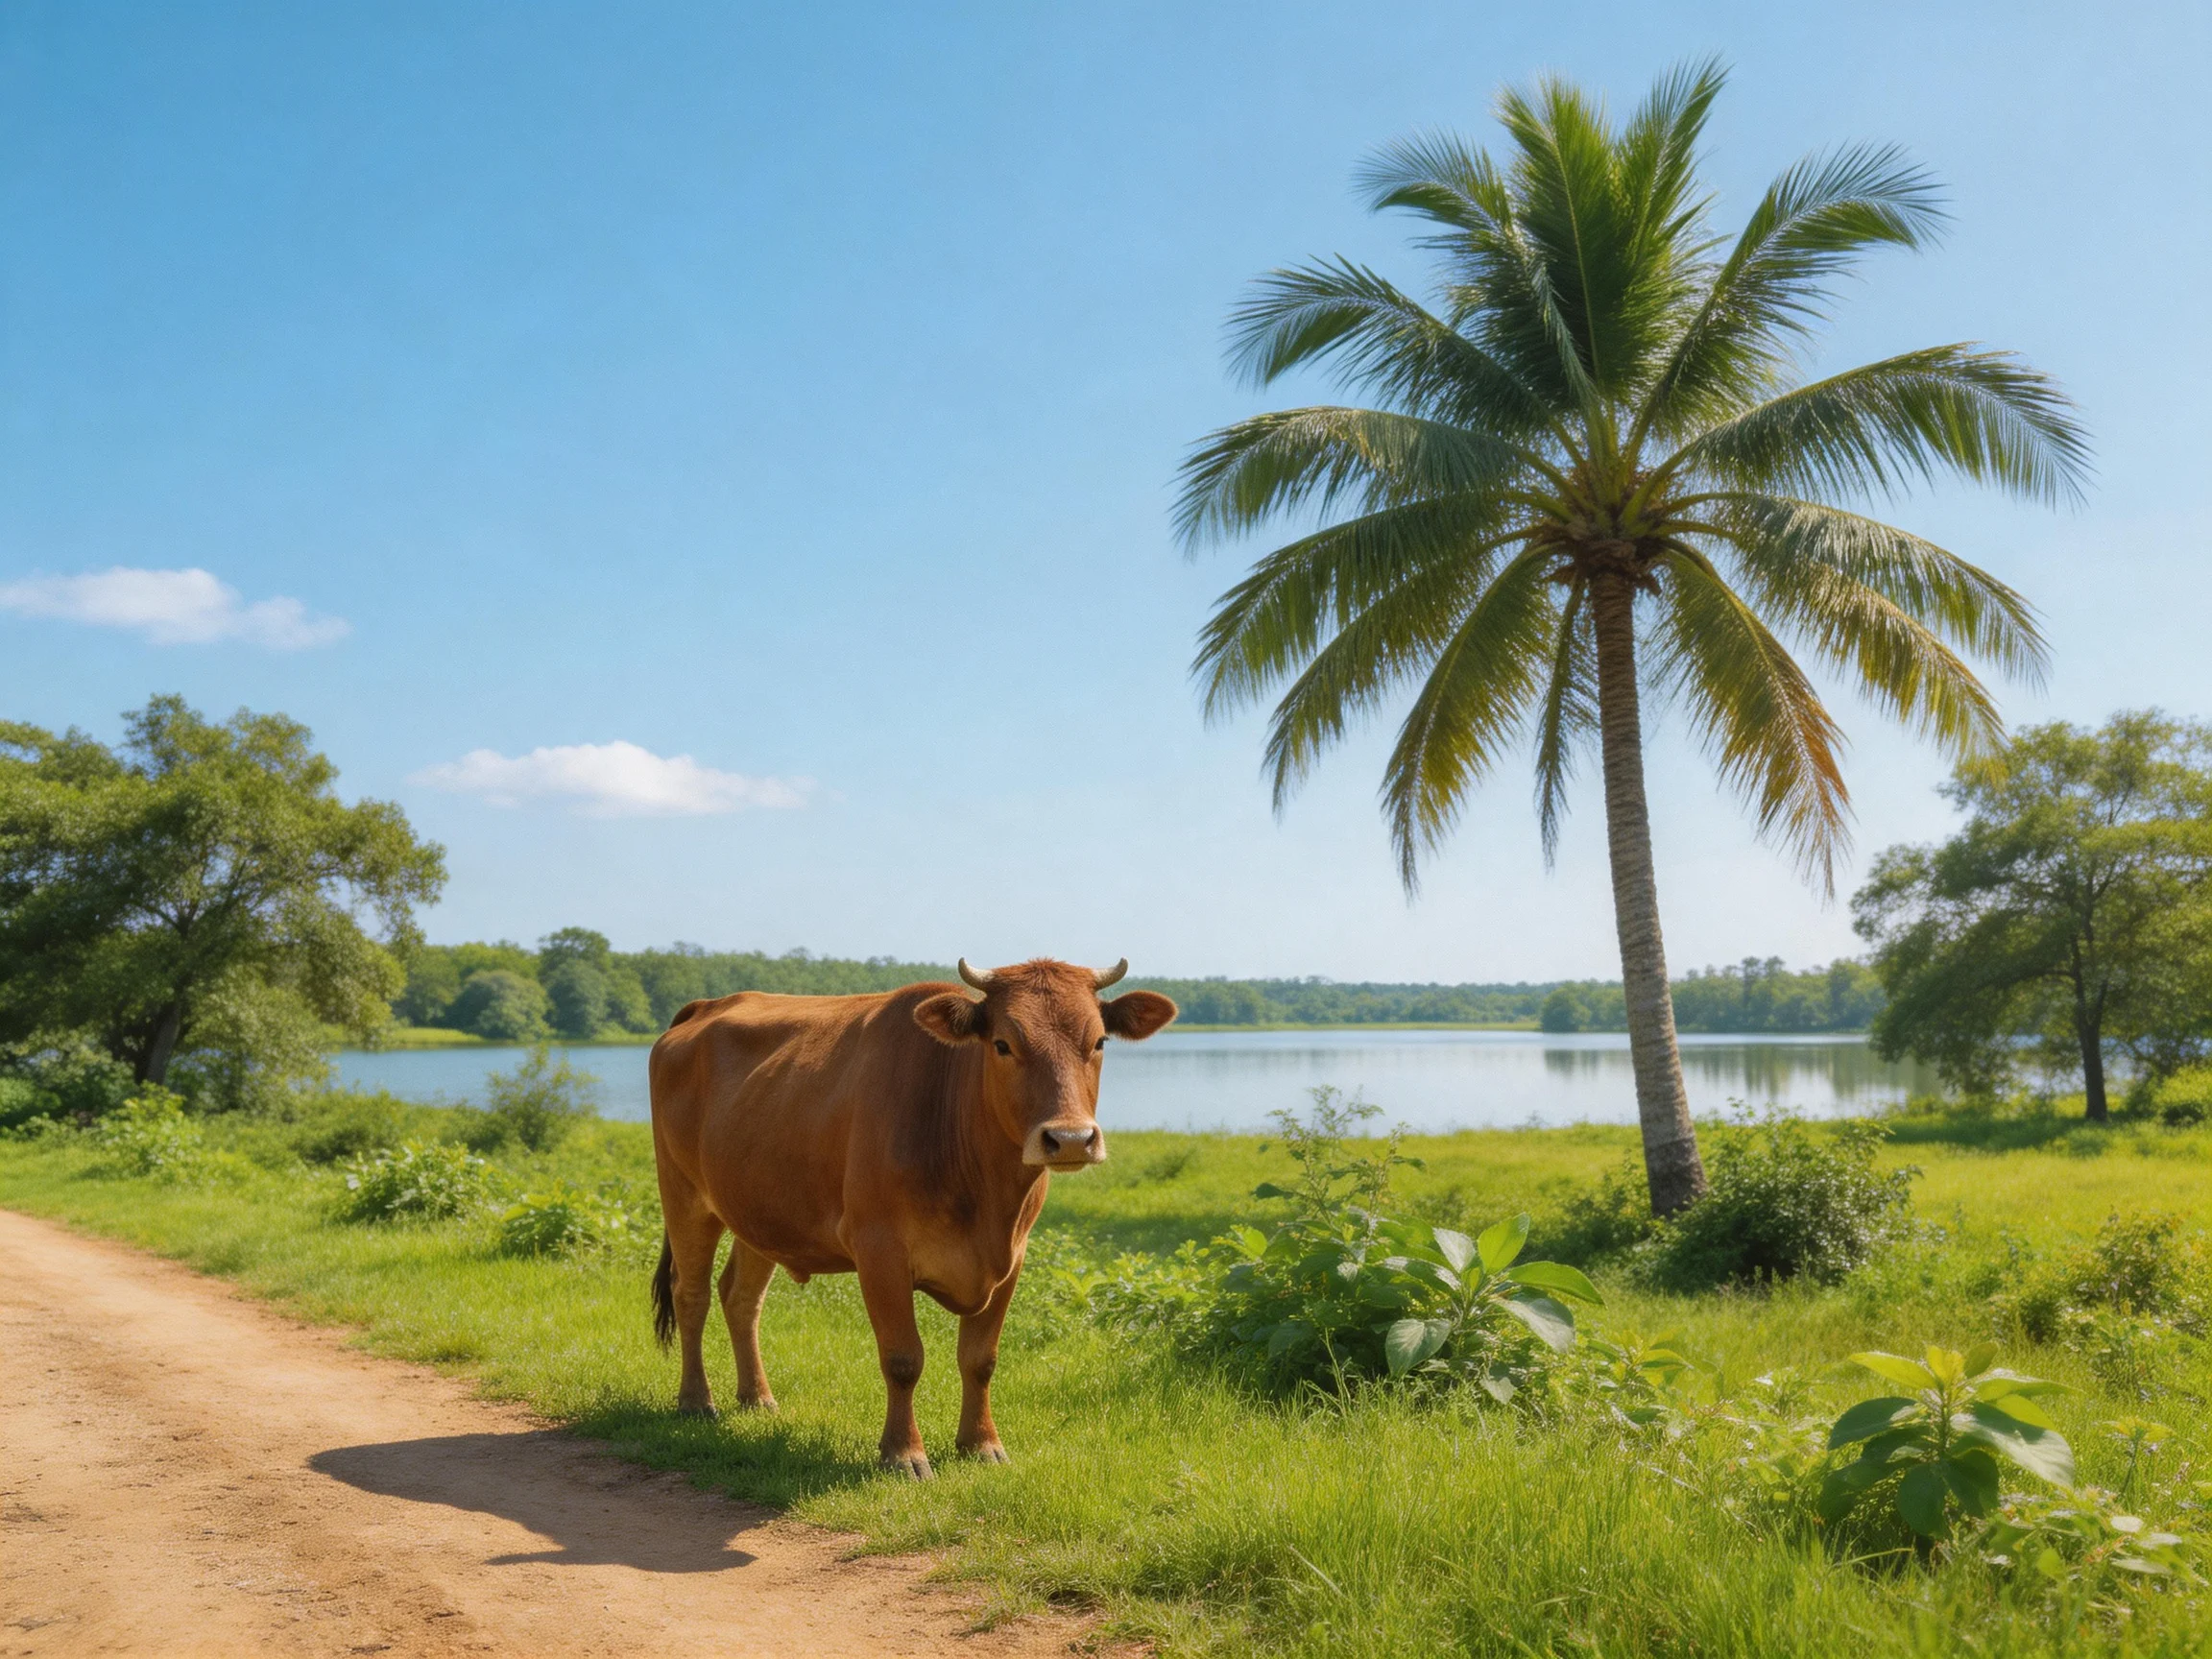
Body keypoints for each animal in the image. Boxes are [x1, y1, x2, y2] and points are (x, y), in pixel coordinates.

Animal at [647, 956, 1177, 1477]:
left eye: (1099, 1041)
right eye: (1003, 1044)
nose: (1069, 1139)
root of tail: (707, 1005)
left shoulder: (1013, 1255)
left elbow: (980, 1359)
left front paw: (981, 1444)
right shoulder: (878, 1248)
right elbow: (903, 1358)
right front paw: (904, 1454)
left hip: (761, 1212)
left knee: (740, 1298)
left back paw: (757, 1397)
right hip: (683, 1193)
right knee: (691, 1295)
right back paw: (696, 1401)